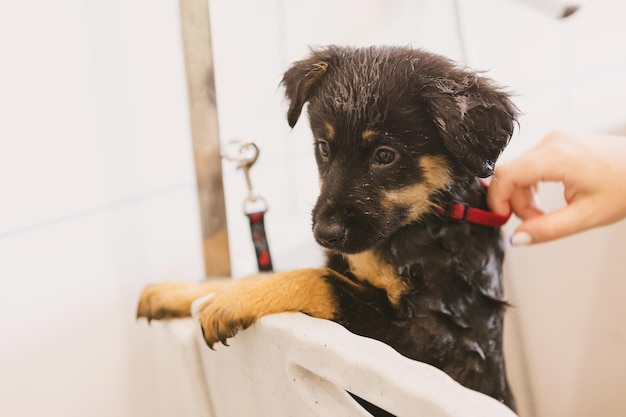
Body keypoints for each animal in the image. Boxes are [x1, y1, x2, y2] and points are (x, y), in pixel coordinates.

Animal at [136, 44, 516, 410]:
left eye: (385, 155)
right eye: (323, 147)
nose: (325, 234)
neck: (427, 222)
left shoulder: (432, 339)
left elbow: (321, 280)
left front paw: (236, 300)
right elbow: (266, 272)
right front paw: (177, 291)